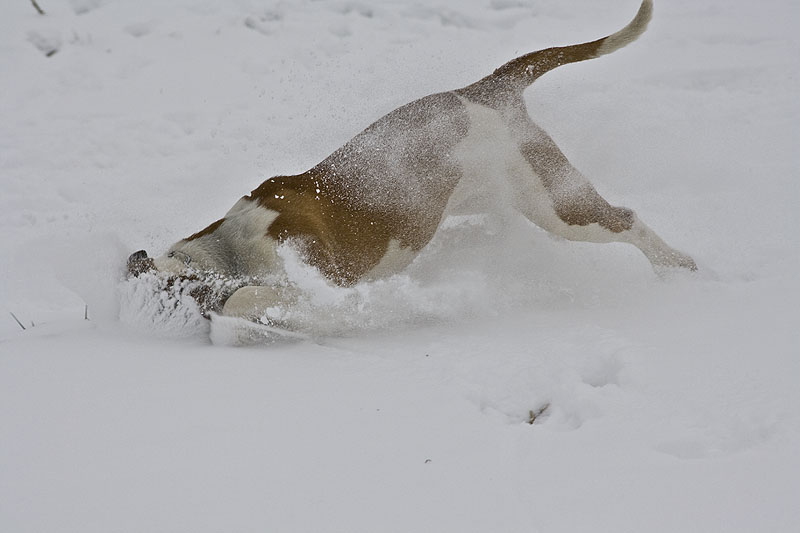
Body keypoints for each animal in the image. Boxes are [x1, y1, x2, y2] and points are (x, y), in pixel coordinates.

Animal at [125, 0, 692, 322]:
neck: (229, 251)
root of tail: (489, 89)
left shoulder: (312, 283)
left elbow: (246, 301)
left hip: (555, 204)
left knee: (626, 221)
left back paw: (680, 270)